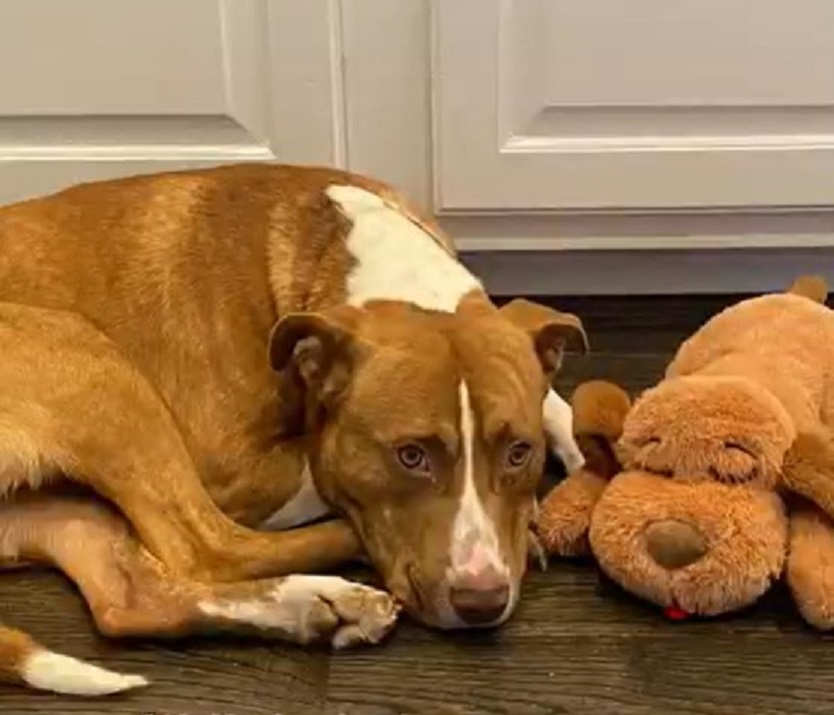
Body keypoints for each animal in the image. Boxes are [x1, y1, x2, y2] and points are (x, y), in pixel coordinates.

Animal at [0, 165, 584, 696]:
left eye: (518, 452)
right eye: (410, 455)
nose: (481, 600)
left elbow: (559, 406)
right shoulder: (232, 471)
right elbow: (319, 467)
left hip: (61, 507)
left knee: (128, 599)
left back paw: (321, 607)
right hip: (90, 359)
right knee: (205, 548)